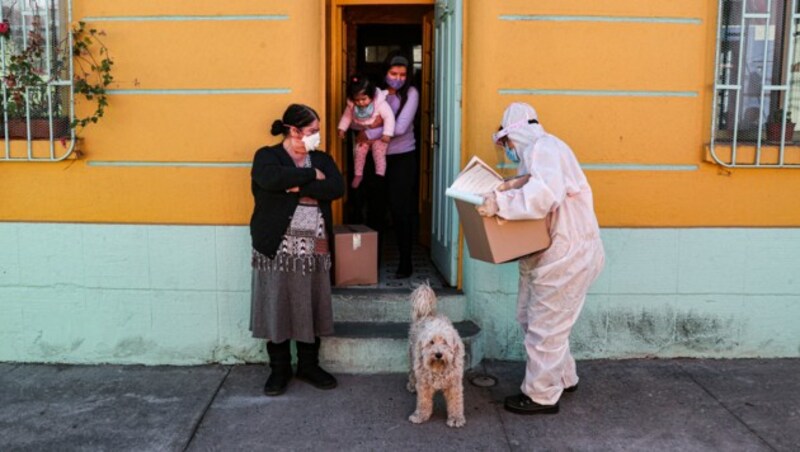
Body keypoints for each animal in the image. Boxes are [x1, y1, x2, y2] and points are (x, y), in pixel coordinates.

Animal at [406, 282, 468, 428]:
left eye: (445, 342)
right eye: (431, 342)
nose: (438, 354)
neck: (439, 367)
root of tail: (427, 314)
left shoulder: (454, 384)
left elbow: (456, 402)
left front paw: (456, 418)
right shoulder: (424, 384)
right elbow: (423, 402)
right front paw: (420, 415)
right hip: (412, 356)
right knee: (412, 372)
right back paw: (412, 385)